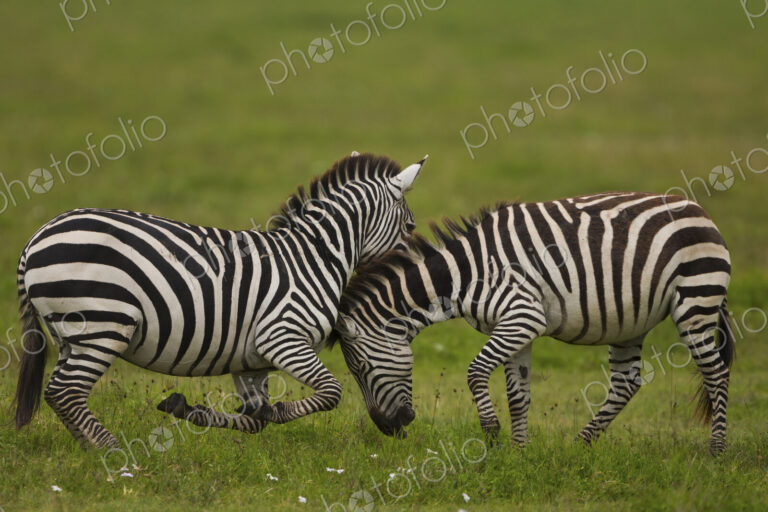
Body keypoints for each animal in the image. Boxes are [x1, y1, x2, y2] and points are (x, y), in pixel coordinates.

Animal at [13, 152, 426, 448]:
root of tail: (37, 237)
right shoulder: (283, 338)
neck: (315, 257)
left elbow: (254, 419)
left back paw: (91, 449)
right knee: (65, 393)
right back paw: (113, 455)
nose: (403, 425)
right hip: (102, 325)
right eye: (410, 227)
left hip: (72, 335)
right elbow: (330, 393)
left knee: (60, 394)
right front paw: (279, 410)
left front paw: (188, 409)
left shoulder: (252, 360)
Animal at [333, 192, 735, 454]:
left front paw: (492, 435)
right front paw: (519, 450)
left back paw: (716, 450)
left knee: (715, 372)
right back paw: (580, 445)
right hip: (631, 324)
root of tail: (699, 211)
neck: (467, 274)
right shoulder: (516, 329)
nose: (388, 430)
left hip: (696, 299)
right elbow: (518, 395)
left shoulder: (523, 317)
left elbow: (475, 372)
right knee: (626, 383)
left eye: (361, 368)